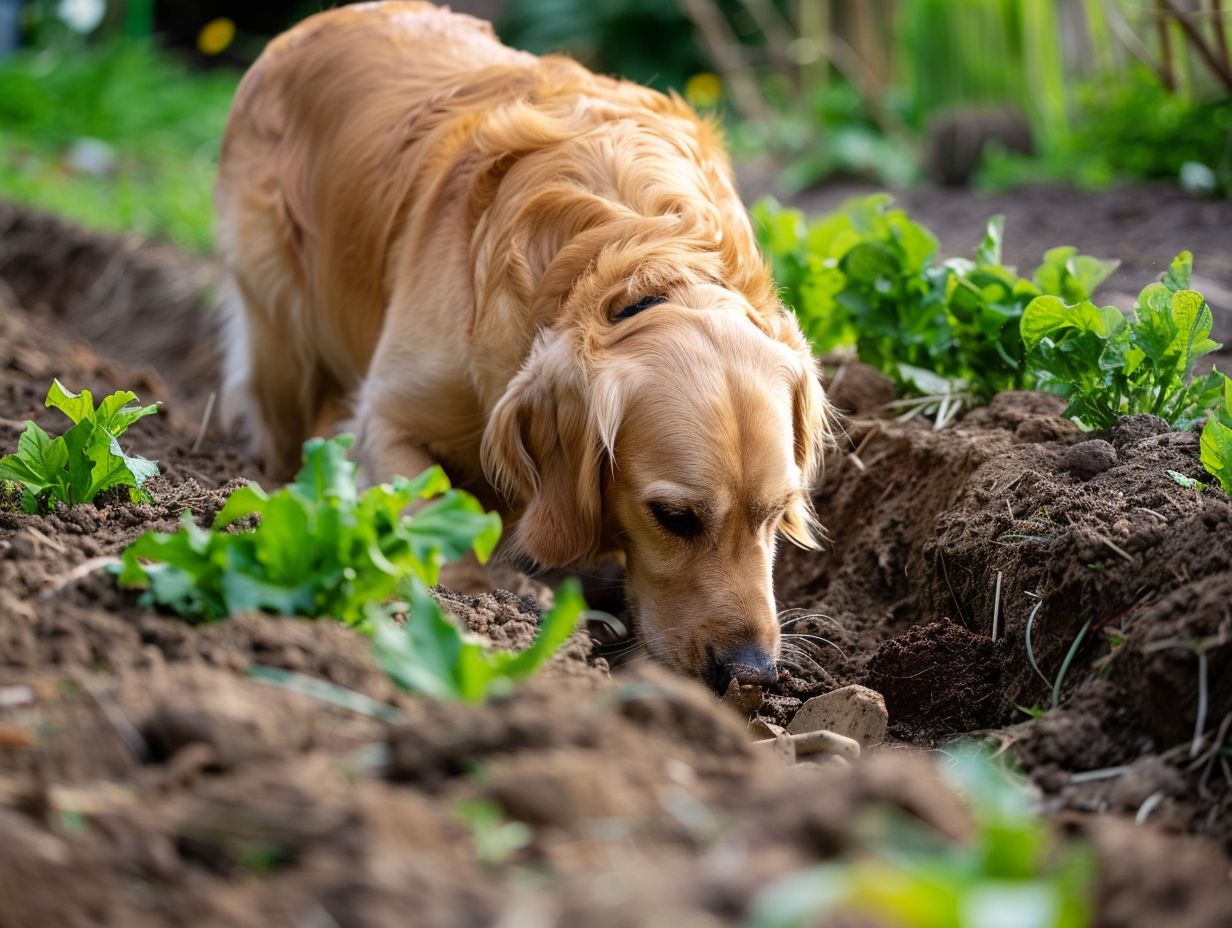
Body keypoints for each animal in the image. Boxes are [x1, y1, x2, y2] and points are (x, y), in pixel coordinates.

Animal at [216, 0, 832, 690]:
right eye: (674, 517)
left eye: (776, 512)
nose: (753, 672)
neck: (640, 269)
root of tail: (319, 22)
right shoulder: (391, 415)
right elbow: (432, 517)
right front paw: (462, 614)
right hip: (281, 342)